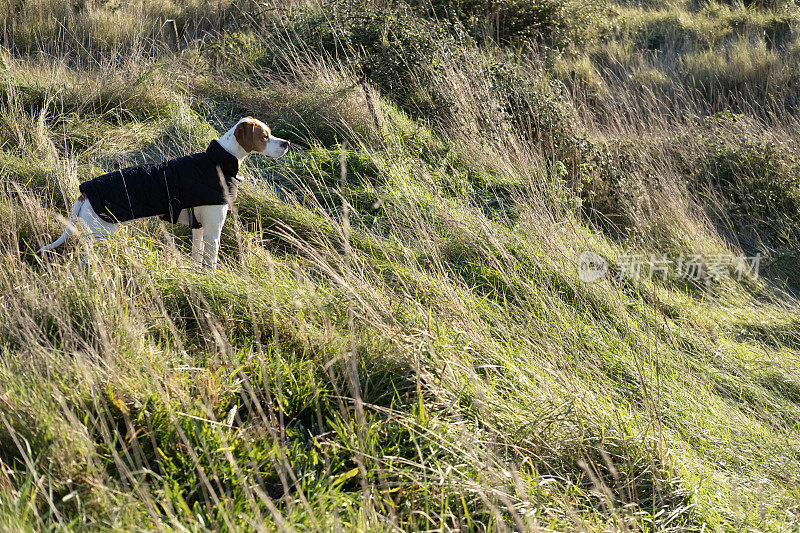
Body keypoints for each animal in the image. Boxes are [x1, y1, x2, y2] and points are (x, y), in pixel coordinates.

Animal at [37, 117, 290, 270]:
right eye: (265, 136)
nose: (286, 143)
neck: (218, 161)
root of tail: (85, 192)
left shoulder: (198, 230)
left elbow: (197, 257)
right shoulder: (212, 233)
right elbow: (211, 265)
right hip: (100, 237)